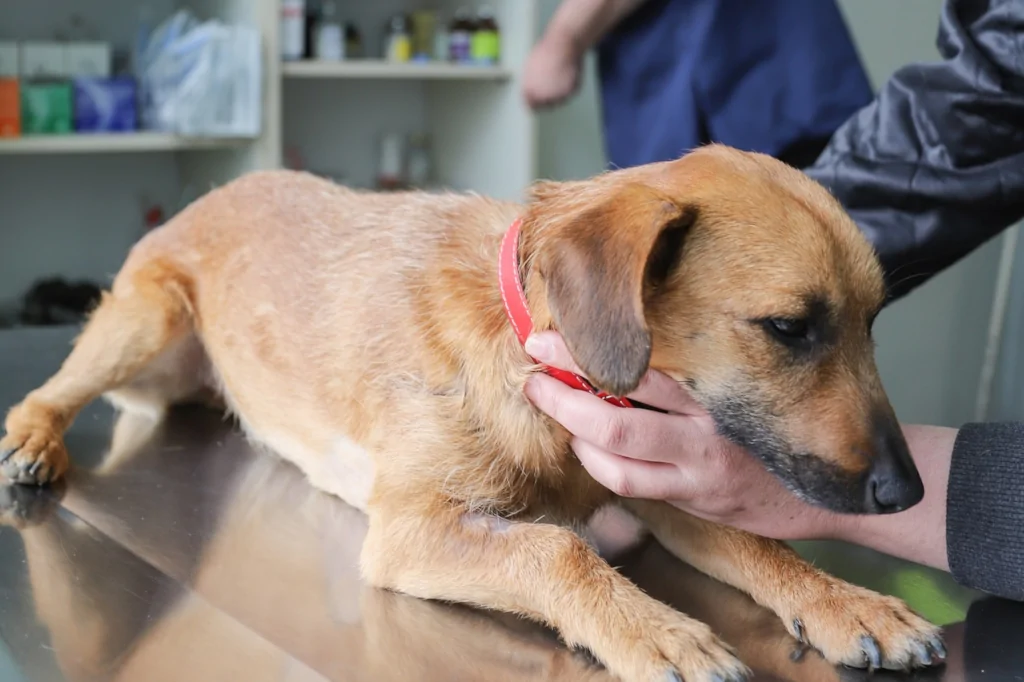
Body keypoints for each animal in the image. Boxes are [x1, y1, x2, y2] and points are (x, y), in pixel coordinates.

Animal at [0, 144, 942, 679]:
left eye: (873, 319)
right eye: (788, 328)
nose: (909, 494)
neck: (536, 356)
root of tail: (214, 190)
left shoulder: (656, 477)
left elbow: (762, 547)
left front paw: (849, 603)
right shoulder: (411, 530)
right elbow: (559, 551)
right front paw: (658, 632)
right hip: (145, 317)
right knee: (48, 390)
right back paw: (34, 442)